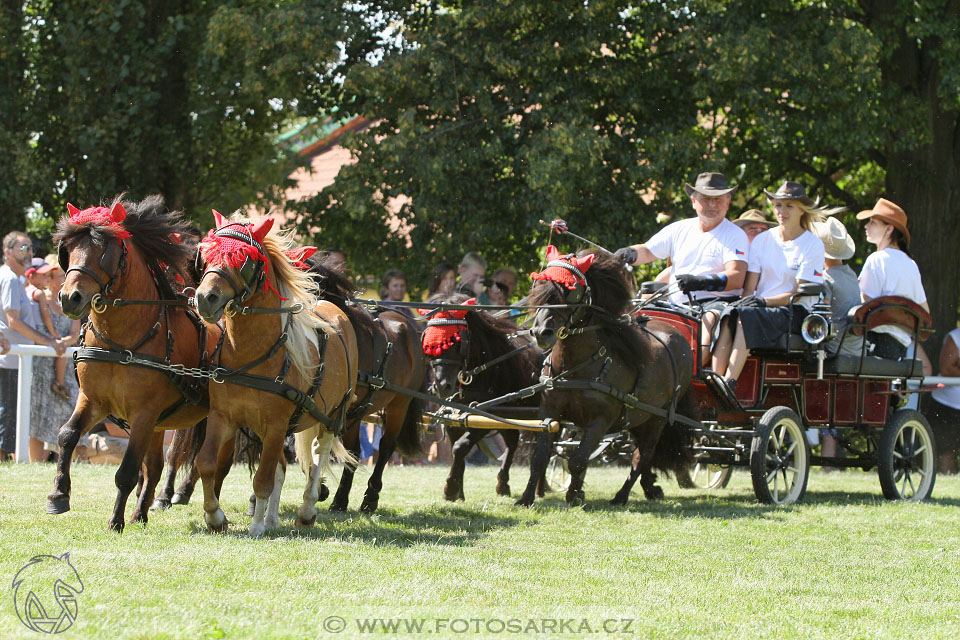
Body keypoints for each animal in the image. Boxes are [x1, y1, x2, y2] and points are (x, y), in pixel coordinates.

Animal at [52, 195, 219, 528]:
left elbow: (128, 470)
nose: (69, 297)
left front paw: (115, 520)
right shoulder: (93, 399)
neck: (121, 341)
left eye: (105, 250)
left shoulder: (144, 413)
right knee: (158, 466)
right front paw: (59, 494)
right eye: (69, 249)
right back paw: (145, 509)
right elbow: (67, 434)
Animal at [196, 211, 360, 536]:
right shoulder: (223, 417)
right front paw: (215, 516)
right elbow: (207, 464)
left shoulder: (275, 424)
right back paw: (273, 518)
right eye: (207, 255)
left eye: (243, 259)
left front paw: (257, 526)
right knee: (283, 467)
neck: (250, 354)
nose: (205, 297)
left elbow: (263, 479)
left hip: (332, 415)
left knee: (318, 456)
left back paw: (306, 510)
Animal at [424, 294, 544, 500]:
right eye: (429, 344)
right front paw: (459, 491)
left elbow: (461, 446)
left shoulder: (484, 414)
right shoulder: (453, 416)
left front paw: (450, 487)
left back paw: (540, 488)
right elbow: (457, 449)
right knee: (513, 441)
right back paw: (504, 484)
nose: (441, 386)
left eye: (457, 342)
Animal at [516, 245, 696, 504]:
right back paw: (649, 487)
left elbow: (578, 460)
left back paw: (622, 495)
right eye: (539, 286)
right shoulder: (550, 414)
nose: (541, 332)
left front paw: (575, 495)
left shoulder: (600, 421)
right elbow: (540, 458)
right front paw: (526, 498)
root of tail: (675, 333)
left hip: (658, 417)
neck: (576, 368)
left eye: (571, 290)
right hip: (638, 417)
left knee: (643, 455)